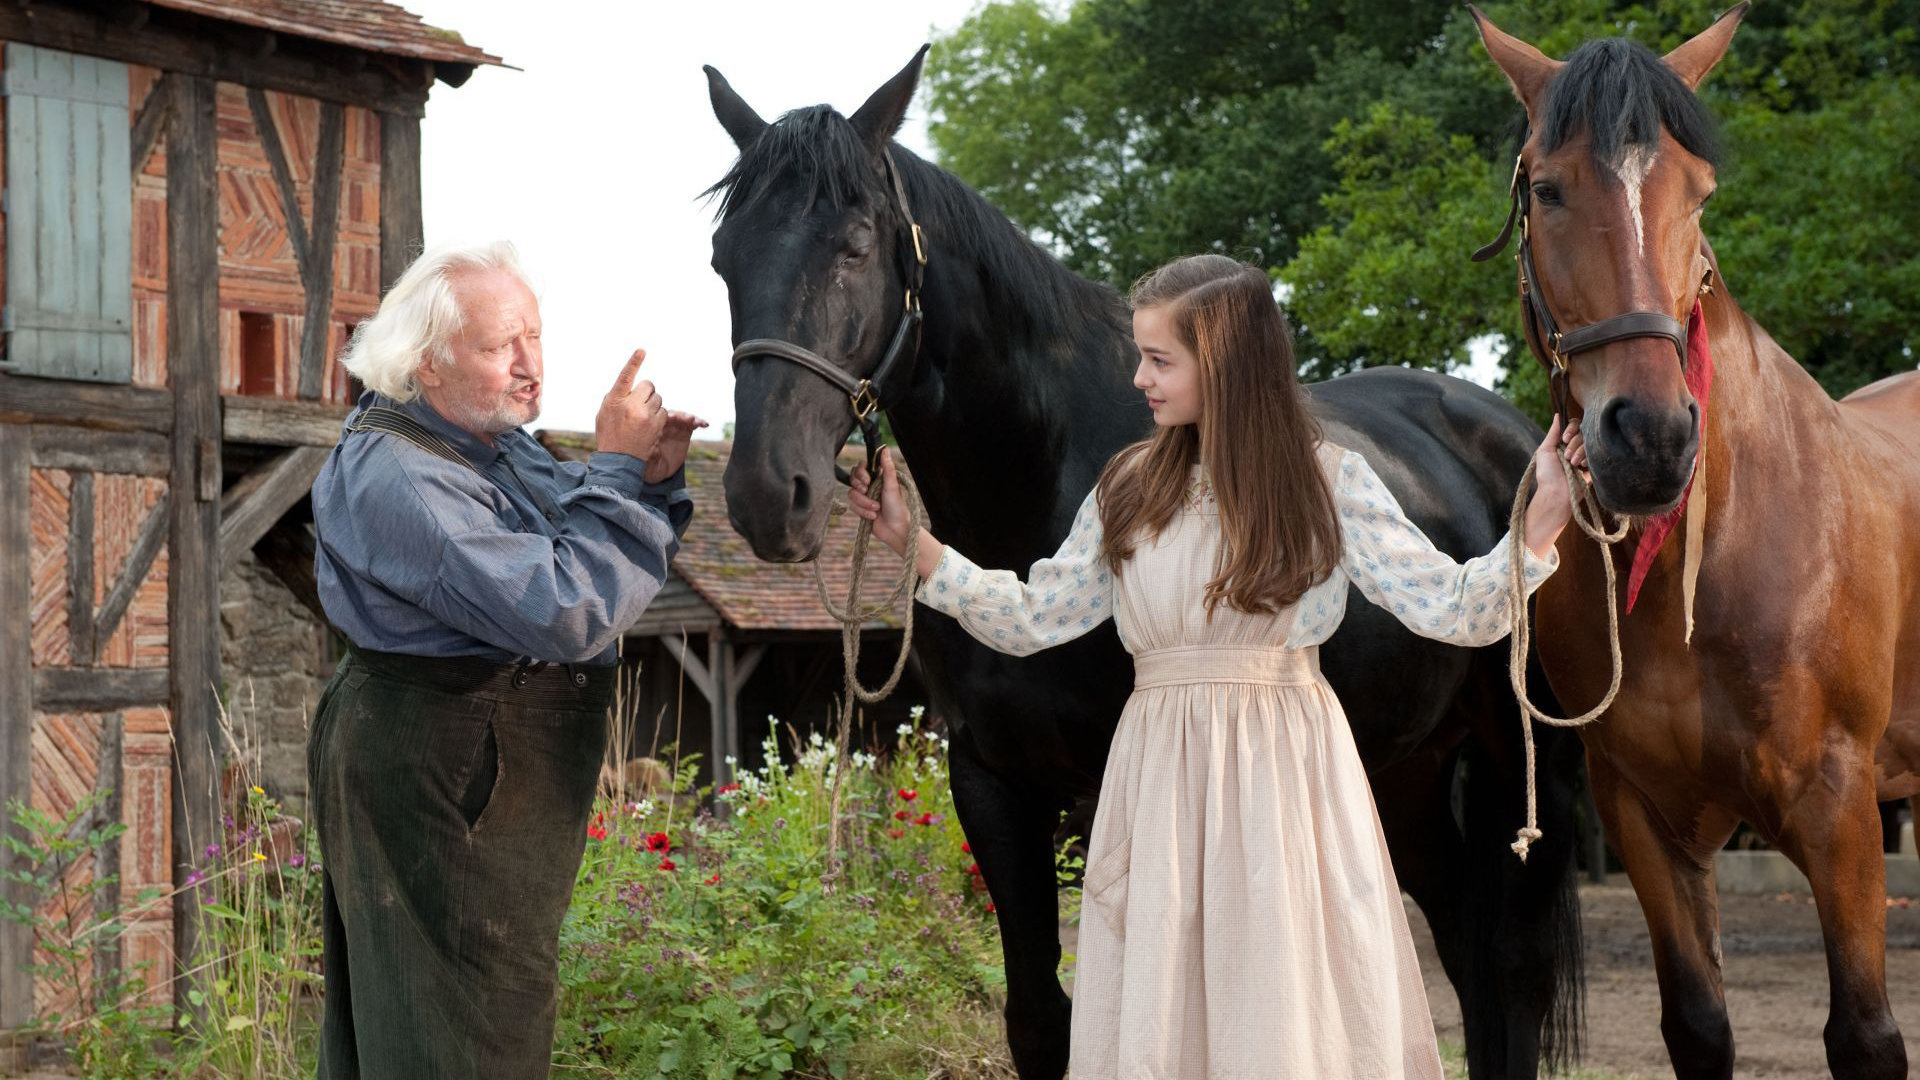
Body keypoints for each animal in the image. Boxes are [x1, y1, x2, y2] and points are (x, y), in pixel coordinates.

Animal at [706, 46, 1589, 1068]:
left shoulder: (1103, 792)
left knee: (1511, 972)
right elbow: (1037, 1017)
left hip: (1524, 764)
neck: (1040, 480)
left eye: (853, 245)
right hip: (1406, 768)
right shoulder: (991, 783)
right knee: (1461, 946)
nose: (769, 495)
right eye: (724, 260)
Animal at [1466, 4, 1920, 1068]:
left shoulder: (1842, 809)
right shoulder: (1643, 815)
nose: (1651, 439)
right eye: (1546, 189)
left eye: (1700, 192)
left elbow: (1867, 1034)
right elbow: (1698, 1024)